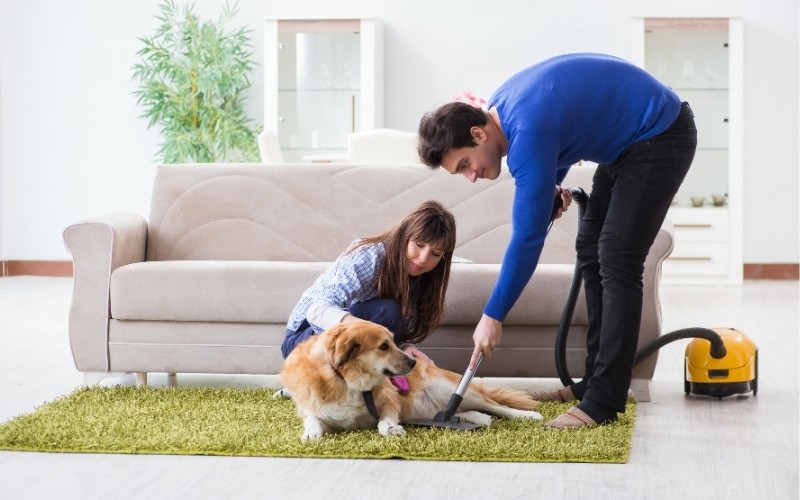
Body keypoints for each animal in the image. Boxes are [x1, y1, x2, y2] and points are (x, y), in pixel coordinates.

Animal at [278, 322, 540, 440]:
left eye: (394, 342)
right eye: (384, 346)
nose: (413, 362)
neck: (346, 380)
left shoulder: (390, 403)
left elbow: (384, 422)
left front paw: (390, 428)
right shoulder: (317, 411)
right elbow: (312, 419)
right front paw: (311, 433)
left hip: (448, 388)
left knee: (494, 405)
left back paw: (527, 415)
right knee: (458, 411)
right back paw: (478, 418)